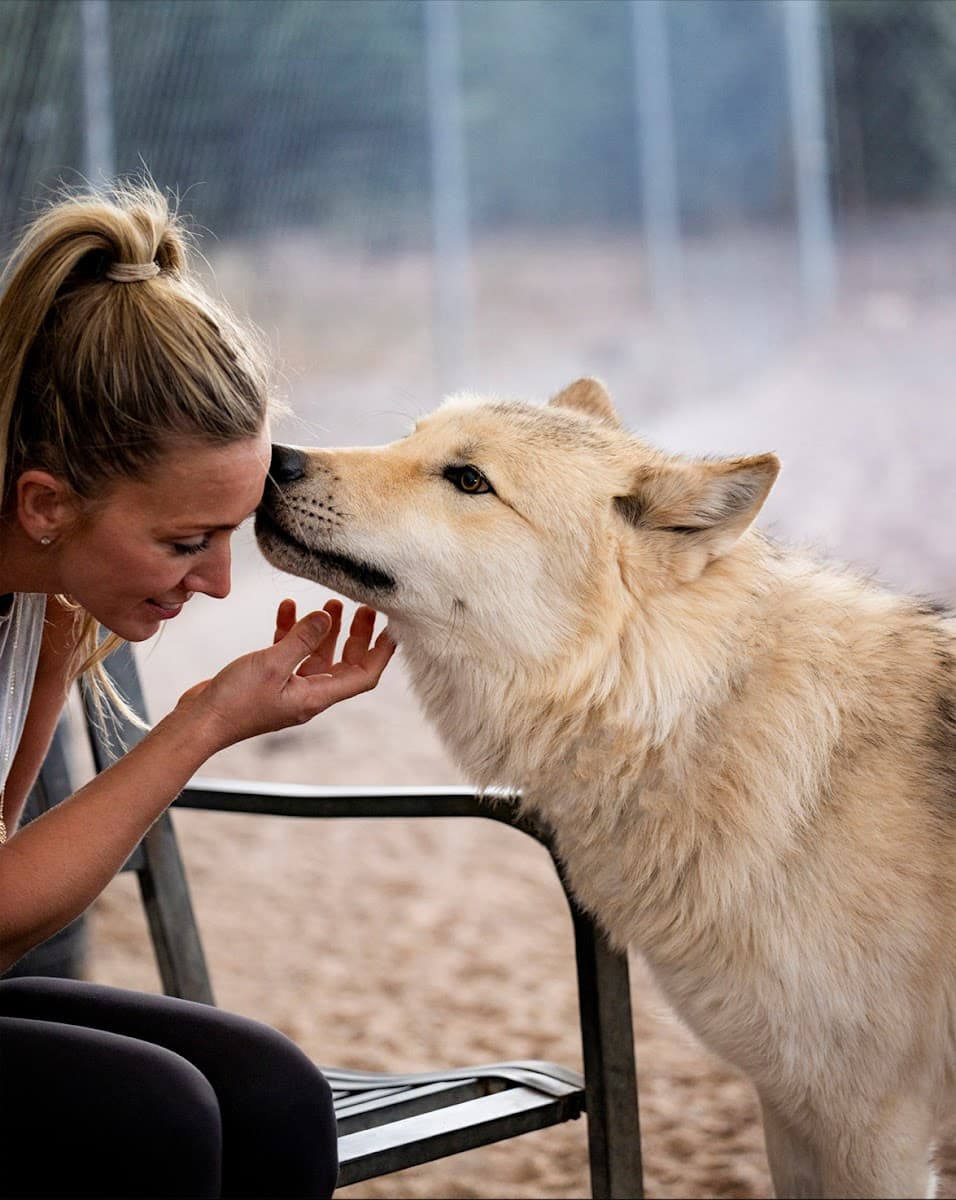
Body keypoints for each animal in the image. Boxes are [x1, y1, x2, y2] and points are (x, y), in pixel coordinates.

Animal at [256, 377, 956, 1199]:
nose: (273, 459)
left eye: (469, 480)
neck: (693, 712)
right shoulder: (790, 1101)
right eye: (410, 439)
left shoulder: (867, 1118)